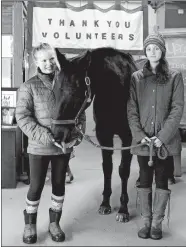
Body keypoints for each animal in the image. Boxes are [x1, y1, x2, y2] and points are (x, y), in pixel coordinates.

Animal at [51, 47, 137, 223]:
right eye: (54, 91)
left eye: (76, 93)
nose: (57, 135)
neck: (115, 94)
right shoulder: (103, 135)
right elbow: (107, 168)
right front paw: (105, 204)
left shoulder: (128, 137)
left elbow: (123, 170)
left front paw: (123, 209)